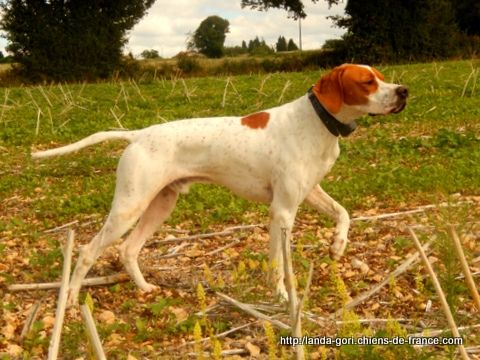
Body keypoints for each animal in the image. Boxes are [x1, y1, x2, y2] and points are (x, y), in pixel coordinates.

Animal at [32, 62, 408, 304]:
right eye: (367, 82)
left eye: (381, 77)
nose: (404, 90)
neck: (317, 122)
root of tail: (138, 135)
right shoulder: (282, 211)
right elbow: (279, 264)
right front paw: (282, 296)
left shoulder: (309, 192)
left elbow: (344, 213)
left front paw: (337, 245)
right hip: (129, 207)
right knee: (87, 251)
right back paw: (71, 301)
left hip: (160, 205)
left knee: (128, 250)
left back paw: (144, 289)